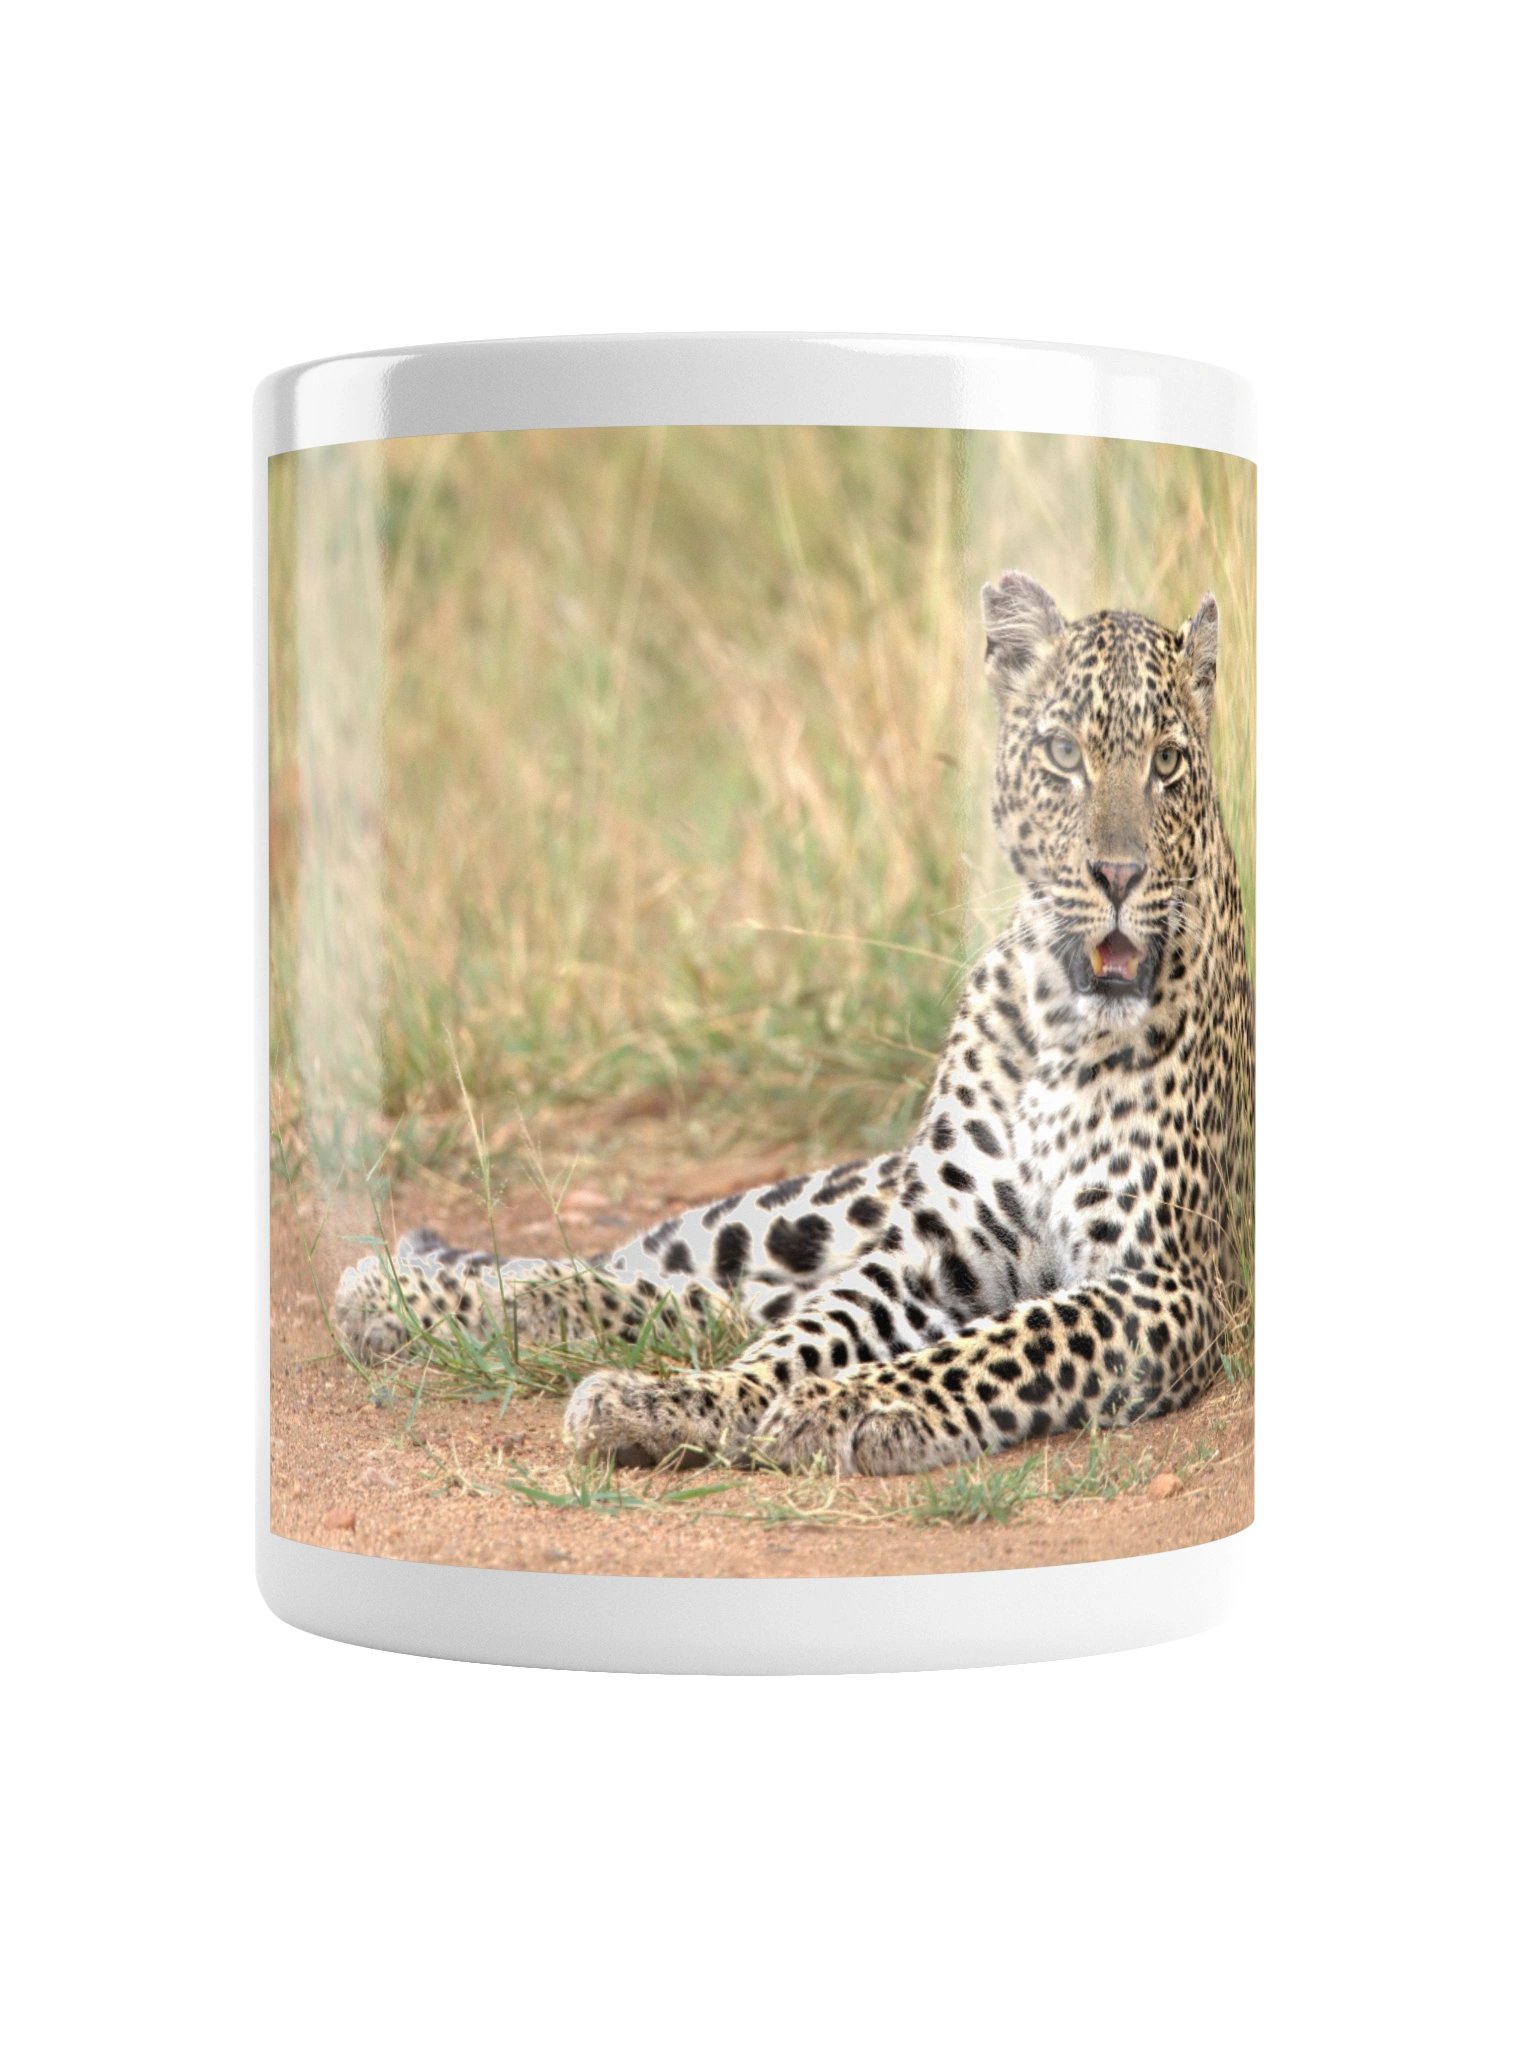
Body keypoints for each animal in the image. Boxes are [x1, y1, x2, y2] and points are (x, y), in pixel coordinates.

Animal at [335, 572, 1254, 1477]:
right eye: (1065, 755)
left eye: (1167, 762)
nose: (1118, 875)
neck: (1061, 1017)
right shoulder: (932, 1255)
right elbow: (814, 1333)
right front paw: (709, 1400)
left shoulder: (1165, 1283)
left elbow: (1003, 1341)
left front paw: (858, 1404)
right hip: (811, 1208)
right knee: (672, 1274)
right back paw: (400, 1289)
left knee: (713, 1302)